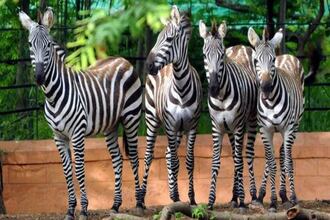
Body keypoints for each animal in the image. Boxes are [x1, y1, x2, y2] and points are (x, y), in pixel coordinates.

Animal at [19, 7, 143, 219]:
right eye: (29, 44)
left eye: (48, 45)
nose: (39, 77)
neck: (53, 96)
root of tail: (122, 60)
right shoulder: (58, 136)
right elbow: (67, 171)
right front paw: (70, 209)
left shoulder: (77, 133)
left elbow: (79, 168)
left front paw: (84, 209)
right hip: (110, 125)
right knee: (117, 159)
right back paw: (115, 205)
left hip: (131, 117)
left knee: (134, 156)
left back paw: (139, 203)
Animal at [140, 5, 202, 206]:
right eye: (157, 38)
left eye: (168, 39)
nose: (148, 65)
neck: (181, 87)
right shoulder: (170, 124)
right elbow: (175, 162)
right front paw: (176, 196)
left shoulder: (192, 126)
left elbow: (189, 161)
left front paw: (191, 198)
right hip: (152, 119)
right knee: (149, 155)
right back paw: (141, 199)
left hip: (179, 130)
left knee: (168, 154)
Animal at [200, 21, 260, 211]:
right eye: (204, 55)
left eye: (221, 56)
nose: (213, 88)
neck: (221, 97)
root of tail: (241, 46)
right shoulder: (216, 127)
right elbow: (216, 162)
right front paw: (211, 201)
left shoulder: (239, 125)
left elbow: (240, 161)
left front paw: (242, 201)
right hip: (230, 128)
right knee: (235, 155)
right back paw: (234, 197)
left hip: (250, 121)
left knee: (247, 154)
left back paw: (252, 195)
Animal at [248, 27, 304, 211]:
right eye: (256, 61)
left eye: (272, 60)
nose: (266, 88)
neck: (271, 102)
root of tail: (285, 55)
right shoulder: (265, 129)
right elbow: (271, 163)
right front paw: (272, 201)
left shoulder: (289, 128)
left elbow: (288, 162)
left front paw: (293, 197)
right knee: (271, 157)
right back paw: (262, 195)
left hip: (295, 125)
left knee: (283, 154)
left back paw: (285, 195)